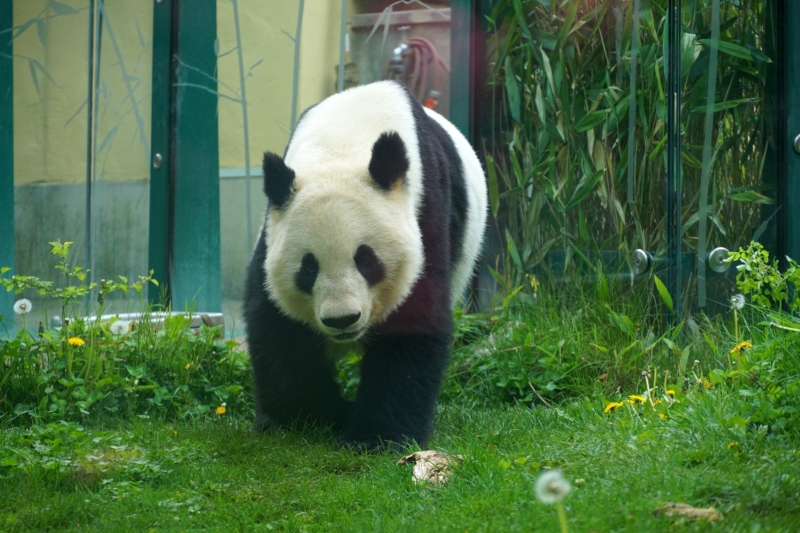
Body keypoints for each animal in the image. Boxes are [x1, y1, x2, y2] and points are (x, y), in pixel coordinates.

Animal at [244, 80, 487, 451]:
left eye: (366, 259)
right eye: (308, 268)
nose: (342, 319)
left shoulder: (425, 212)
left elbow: (412, 326)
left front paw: (376, 437)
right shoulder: (273, 230)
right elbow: (276, 323)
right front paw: (310, 416)